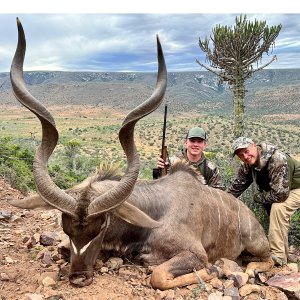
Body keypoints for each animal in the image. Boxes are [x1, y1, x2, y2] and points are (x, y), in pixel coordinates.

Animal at [9, 17, 274, 290]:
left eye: (101, 226)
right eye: (66, 229)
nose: (79, 277)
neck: (154, 211)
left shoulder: (195, 254)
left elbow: (158, 275)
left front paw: (213, 270)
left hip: (256, 245)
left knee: (269, 260)